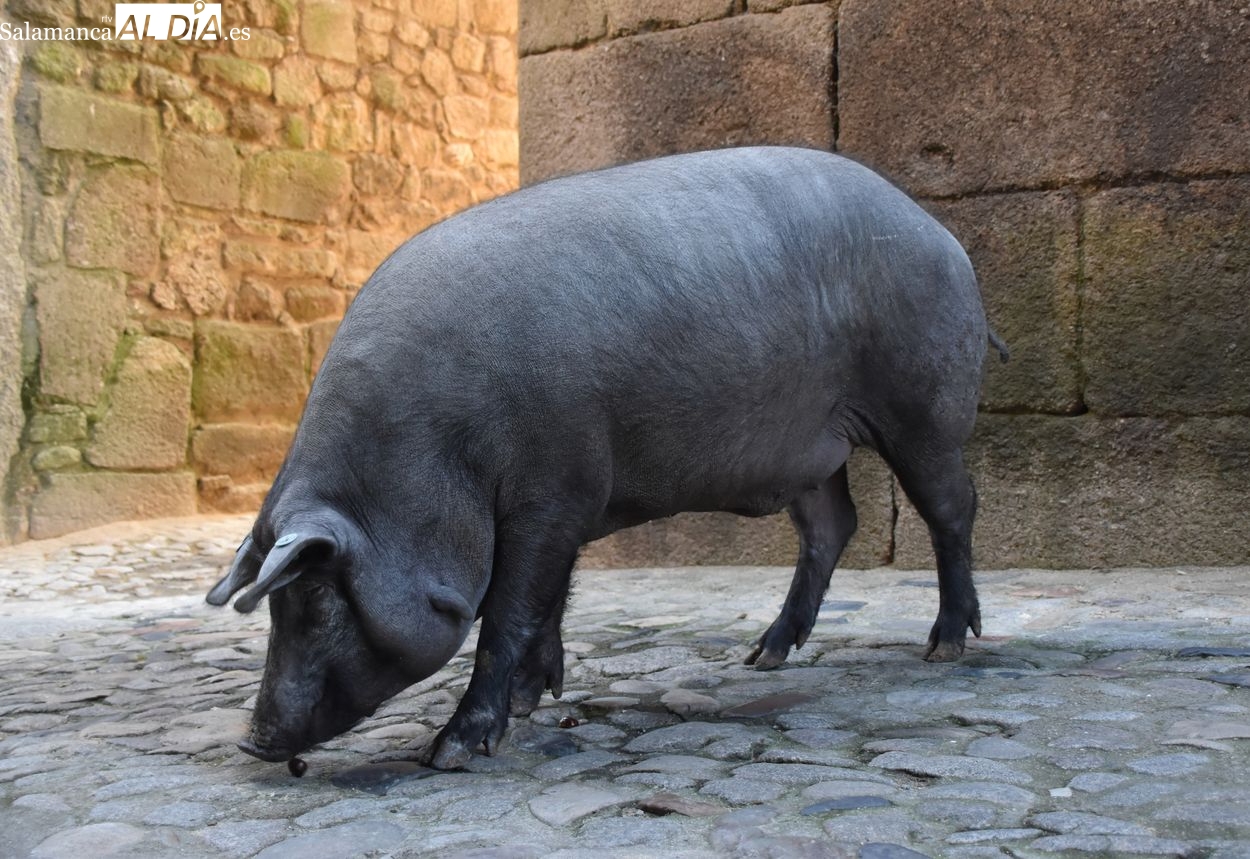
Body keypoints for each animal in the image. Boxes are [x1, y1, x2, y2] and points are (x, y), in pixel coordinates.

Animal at [205, 147, 1005, 775]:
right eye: (277, 601)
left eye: (315, 598)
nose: (252, 742)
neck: (430, 454)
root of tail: (946, 237)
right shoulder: (567, 503)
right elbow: (548, 602)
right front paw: (534, 700)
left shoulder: (551, 493)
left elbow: (509, 612)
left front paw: (451, 750)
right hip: (812, 448)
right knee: (833, 525)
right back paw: (764, 656)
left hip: (921, 406)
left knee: (952, 506)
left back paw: (944, 647)